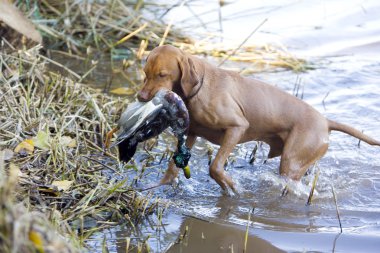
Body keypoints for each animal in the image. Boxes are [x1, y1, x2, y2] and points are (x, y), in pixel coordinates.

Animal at [137, 45, 380, 192]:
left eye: (162, 75)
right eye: (145, 73)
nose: (141, 97)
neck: (199, 87)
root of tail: (326, 121)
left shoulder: (236, 127)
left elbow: (215, 166)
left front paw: (231, 187)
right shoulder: (191, 134)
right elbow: (172, 166)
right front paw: (158, 187)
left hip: (291, 163)